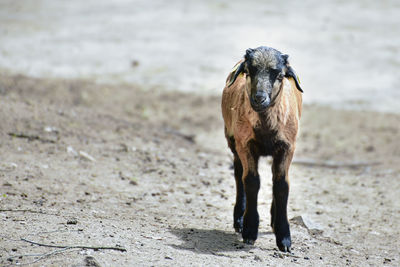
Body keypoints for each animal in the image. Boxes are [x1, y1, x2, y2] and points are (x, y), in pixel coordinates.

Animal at [220, 46, 302, 253]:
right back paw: (239, 219)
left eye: (279, 75)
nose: (259, 98)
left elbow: (282, 185)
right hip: (233, 141)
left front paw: (284, 238)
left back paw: (273, 221)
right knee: (239, 174)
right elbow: (251, 181)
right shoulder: (245, 144)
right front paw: (249, 230)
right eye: (249, 71)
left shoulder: (287, 147)